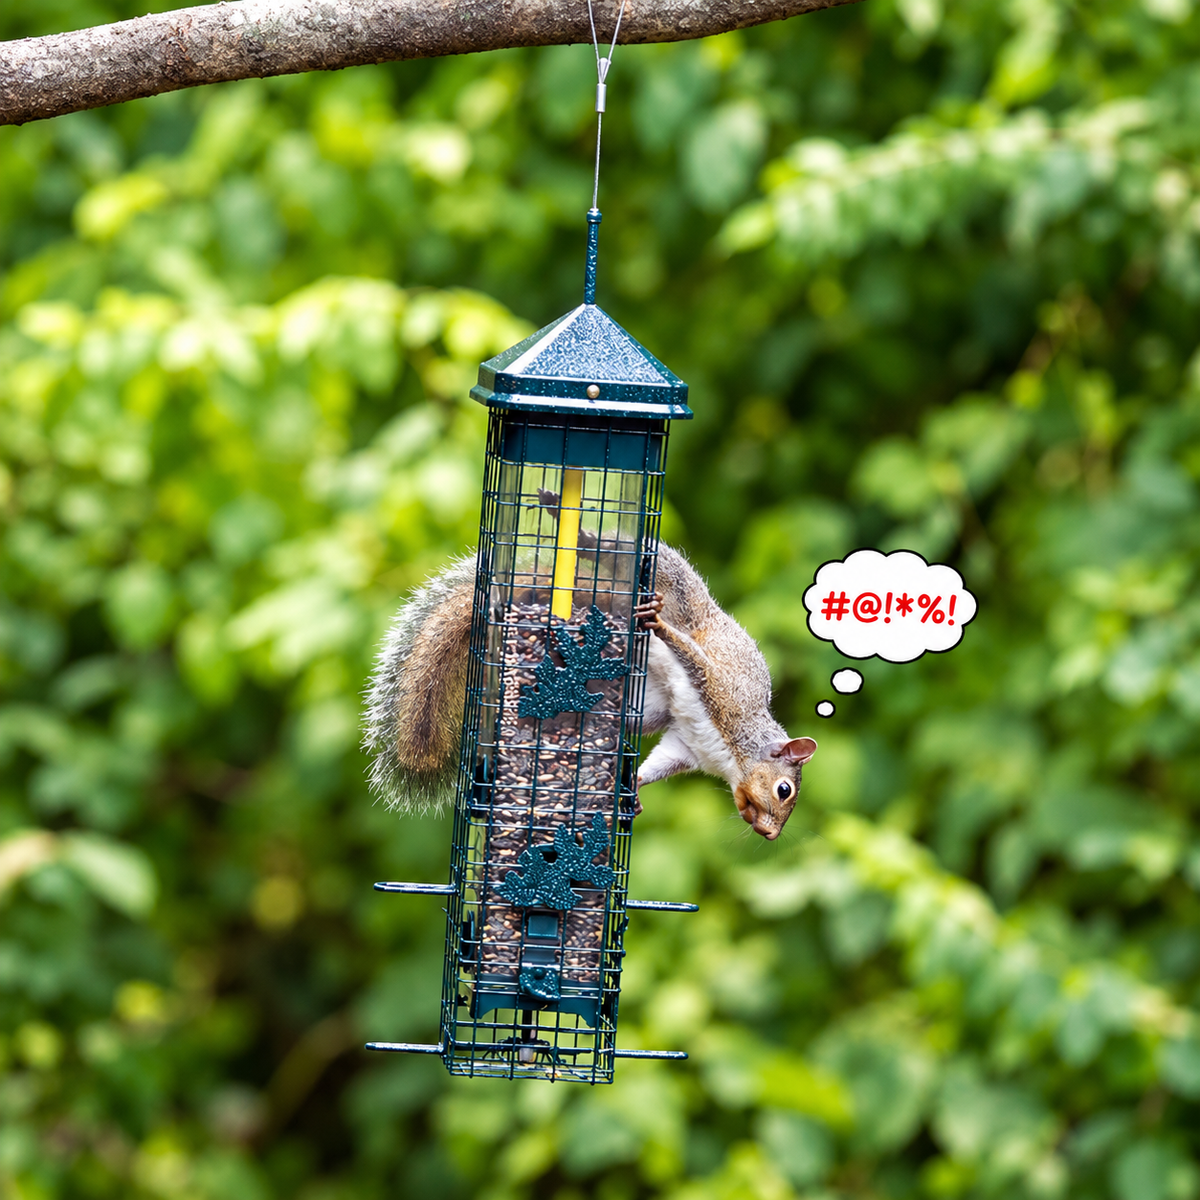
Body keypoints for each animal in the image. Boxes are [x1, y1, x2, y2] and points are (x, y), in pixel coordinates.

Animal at [364, 497, 817, 841]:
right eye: (783, 790)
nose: (769, 834)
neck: (732, 753)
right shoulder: (723, 691)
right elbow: (691, 655)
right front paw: (659, 627)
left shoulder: (685, 745)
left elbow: (660, 762)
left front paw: (633, 790)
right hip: (665, 577)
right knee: (613, 553)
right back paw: (583, 538)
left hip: (651, 706)